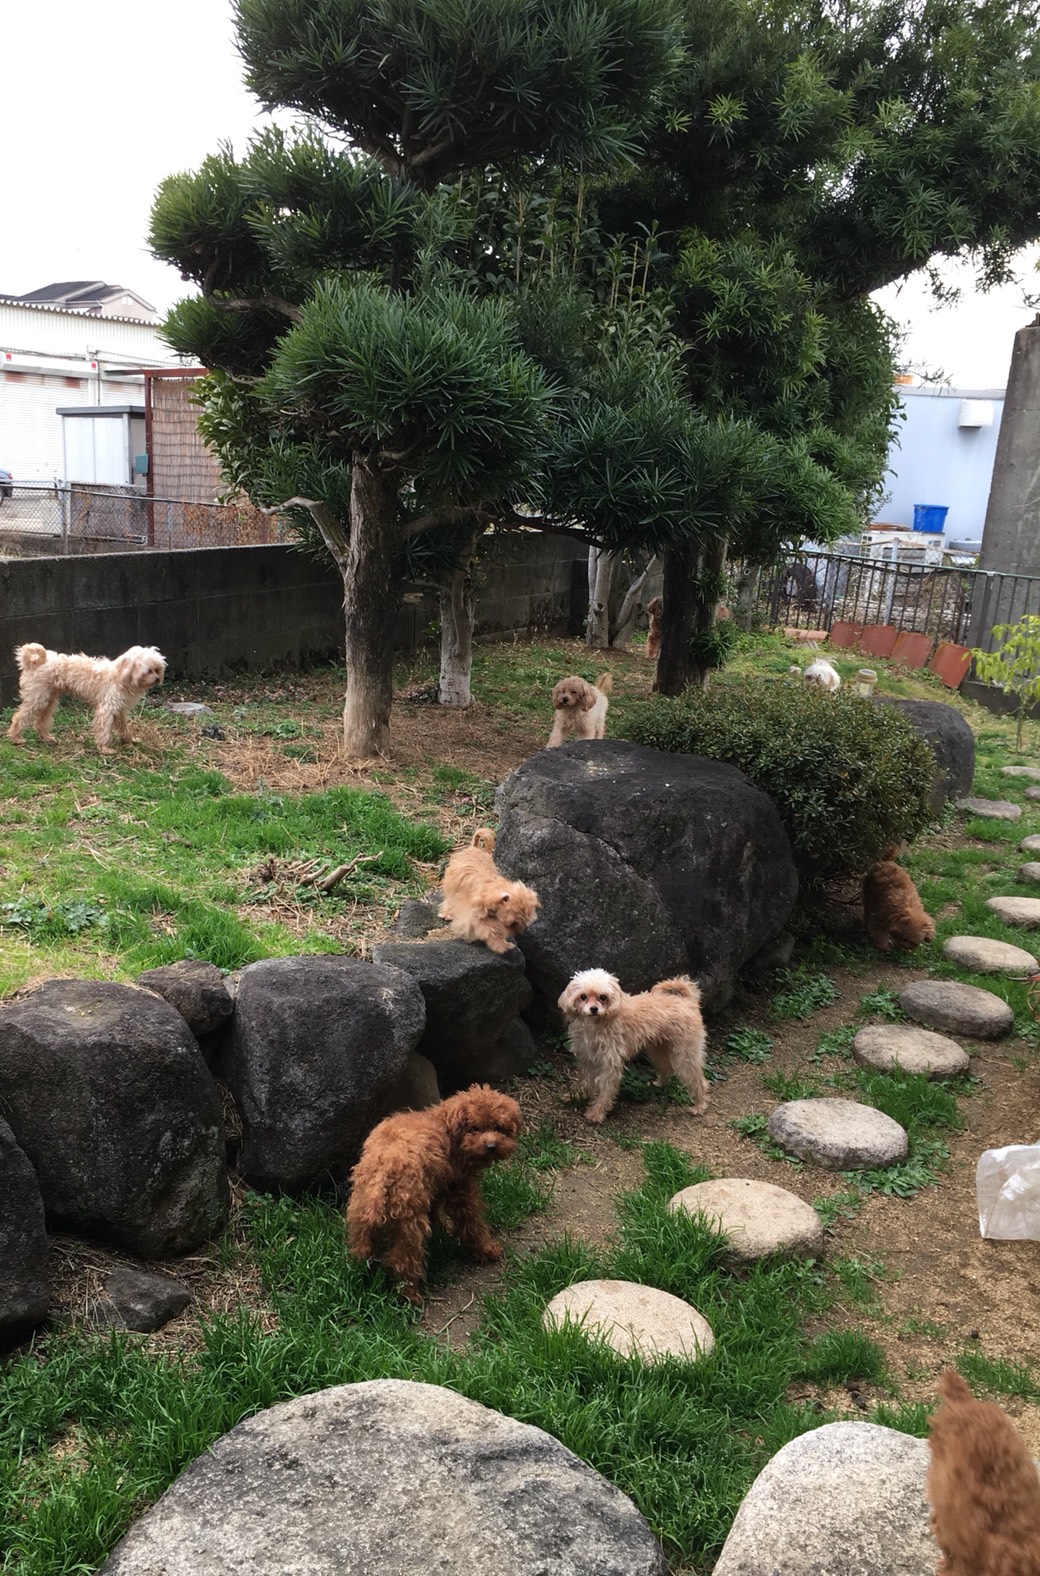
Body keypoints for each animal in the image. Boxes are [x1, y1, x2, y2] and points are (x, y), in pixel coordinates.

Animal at [7, 636, 167, 753]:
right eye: (148, 671)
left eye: (157, 669)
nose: (158, 679)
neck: (121, 675)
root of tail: (35, 662)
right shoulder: (106, 709)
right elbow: (103, 729)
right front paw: (105, 749)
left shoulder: (119, 710)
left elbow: (123, 726)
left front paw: (130, 739)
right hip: (37, 699)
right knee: (19, 717)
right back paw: (15, 738)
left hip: (48, 700)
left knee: (40, 721)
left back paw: (46, 738)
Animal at [345, 1084, 523, 1304]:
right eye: (475, 1128)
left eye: (498, 1127)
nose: (491, 1146)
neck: (448, 1128)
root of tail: (383, 1173)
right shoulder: (460, 1190)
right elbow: (473, 1223)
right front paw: (486, 1249)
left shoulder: (435, 1187)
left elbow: (435, 1211)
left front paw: (439, 1229)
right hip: (409, 1224)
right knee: (402, 1261)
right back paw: (411, 1295)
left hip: (361, 1217)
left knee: (364, 1250)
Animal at [557, 964, 712, 1128]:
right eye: (583, 996)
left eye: (603, 997)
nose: (594, 1009)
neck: (597, 1023)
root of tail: (688, 1000)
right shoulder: (587, 1059)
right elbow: (584, 1081)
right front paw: (576, 1096)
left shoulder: (610, 1065)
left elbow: (605, 1089)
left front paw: (596, 1113)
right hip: (658, 1050)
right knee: (667, 1069)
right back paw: (659, 1084)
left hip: (685, 1055)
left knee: (699, 1080)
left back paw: (699, 1106)